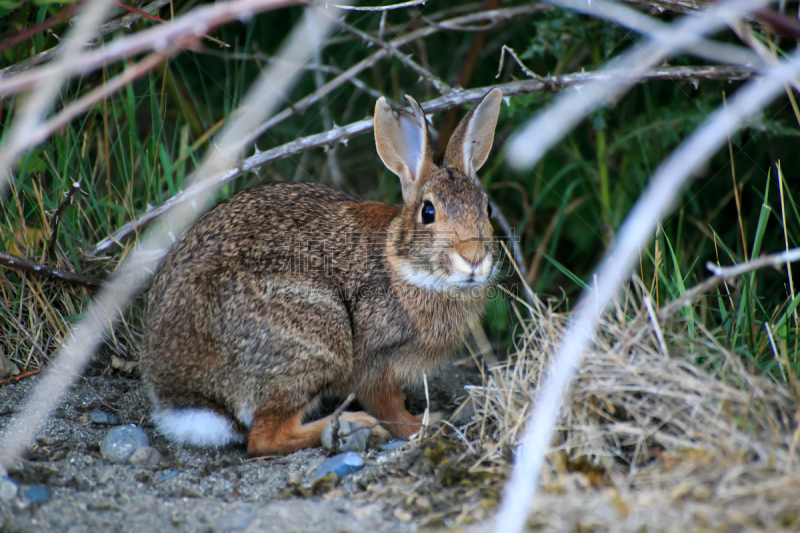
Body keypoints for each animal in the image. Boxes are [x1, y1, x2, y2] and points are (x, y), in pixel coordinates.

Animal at [138, 89, 500, 456]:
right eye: (428, 212)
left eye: (486, 208)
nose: (474, 258)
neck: (404, 263)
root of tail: (182, 396)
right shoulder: (375, 362)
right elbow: (390, 408)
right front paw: (425, 425)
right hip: (318, 339)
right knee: (264, 438)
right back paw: (355, 425)